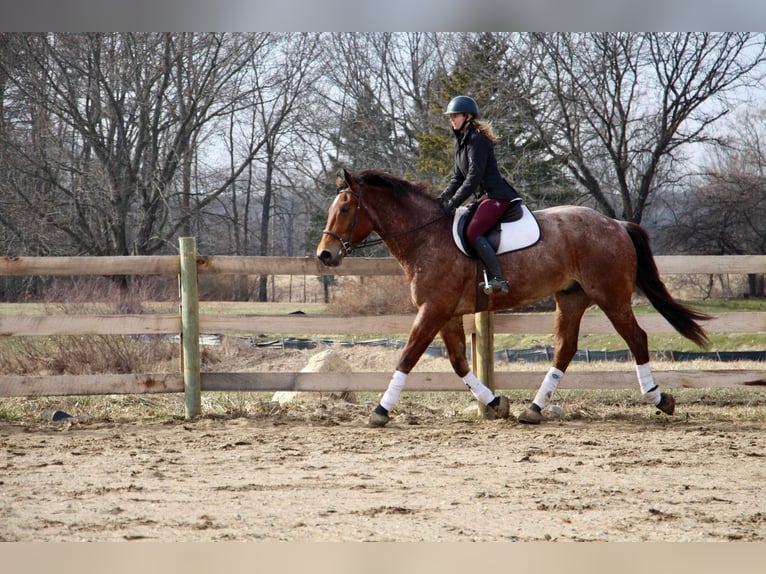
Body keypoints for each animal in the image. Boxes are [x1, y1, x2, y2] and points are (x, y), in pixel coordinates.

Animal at [316, 169, 712, 430]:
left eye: (346, 209)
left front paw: (381, 411)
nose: (325, 255)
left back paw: (659, 399)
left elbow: (408, 356)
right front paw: (496, 403)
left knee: (636, 338)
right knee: (565, 349)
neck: (426, 237)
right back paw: (533, 409)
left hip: (611, 297)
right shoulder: (445, 313)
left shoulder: (433, 310)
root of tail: (616, 223)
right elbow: (458, 362)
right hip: (571, 299)